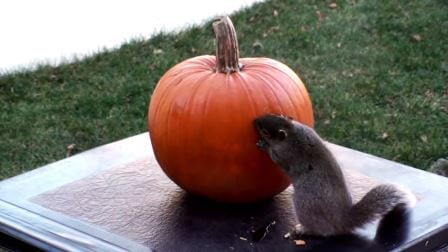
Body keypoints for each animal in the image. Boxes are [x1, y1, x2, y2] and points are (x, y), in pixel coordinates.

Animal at [252, 115, 416, 248]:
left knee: (324, 231)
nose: (255, 121)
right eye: (272, 114)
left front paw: (263, 145)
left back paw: (303, 229)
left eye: (266, 132)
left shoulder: (285, 154)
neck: (292, 133)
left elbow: (276, 158)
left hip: (305, 203)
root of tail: (342, 220)